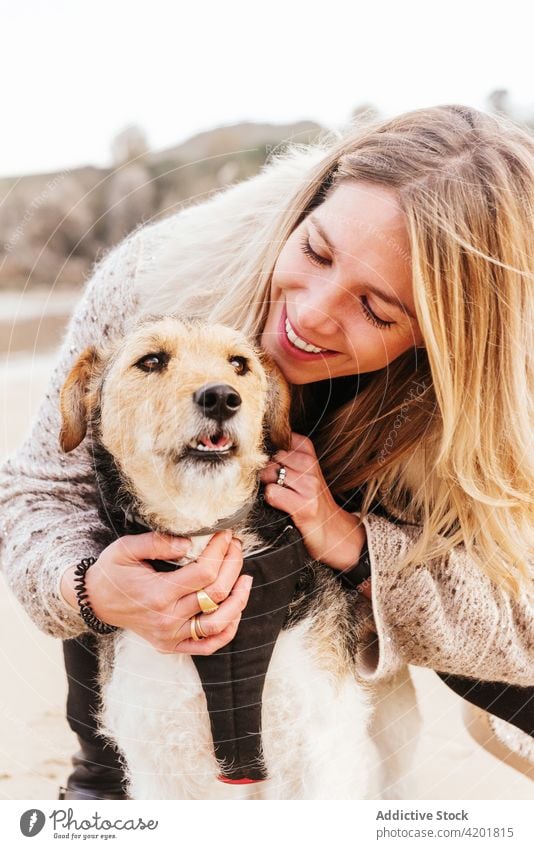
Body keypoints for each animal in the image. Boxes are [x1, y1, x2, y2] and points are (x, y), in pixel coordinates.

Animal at [59, 314, 382, 800]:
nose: (221, 398)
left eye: (239, 364)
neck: (203, 531)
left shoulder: (317, 740)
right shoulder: (164, 757)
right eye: (150, 361)